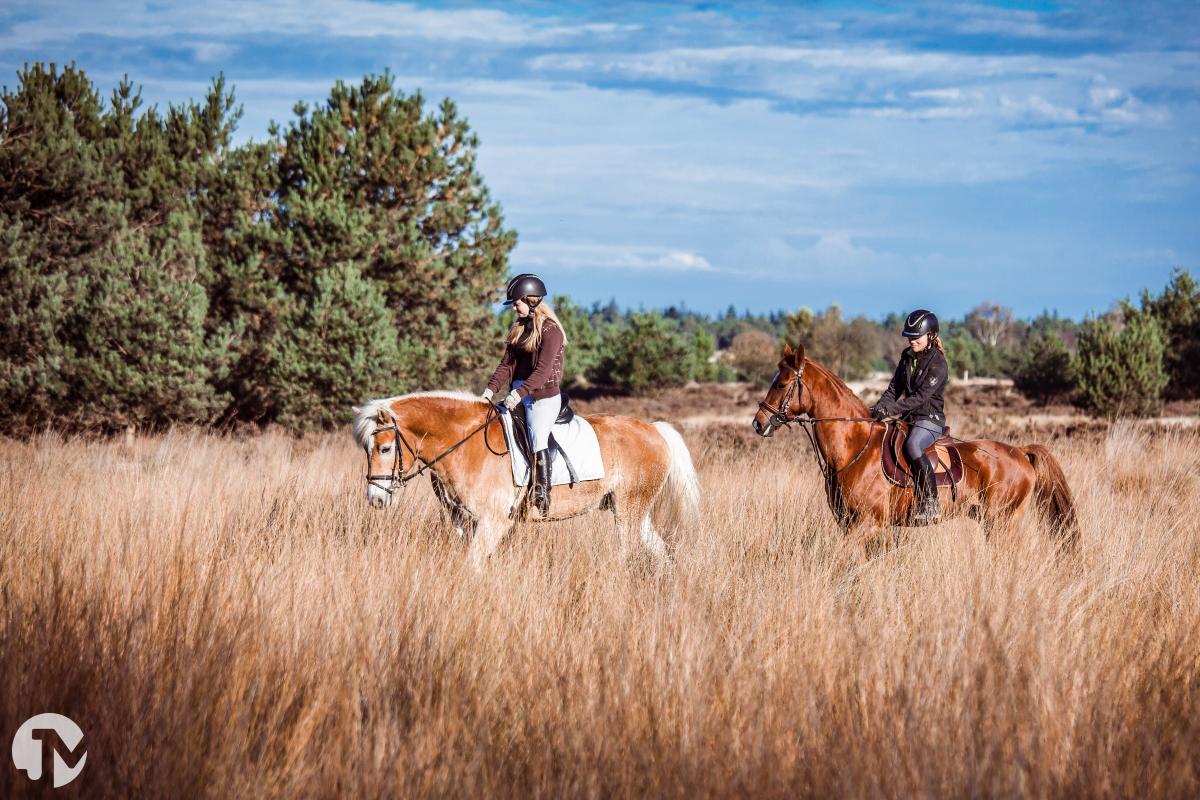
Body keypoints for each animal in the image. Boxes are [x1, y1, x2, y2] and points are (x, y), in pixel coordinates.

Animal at [350, 388, 700, 566]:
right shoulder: (464, 522)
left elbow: (472, 565)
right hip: (632, 509)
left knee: (628, 551)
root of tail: (654, 429)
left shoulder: (494, 521)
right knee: (659, 550)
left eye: (384, 448)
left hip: (629, 509)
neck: (465, 444)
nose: (376, 499)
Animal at [748, 345, 1080, 551]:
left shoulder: (868, 524)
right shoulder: (851, 525)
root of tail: (1020, 452)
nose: (758, 423)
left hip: (1001, 522)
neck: (855, 448)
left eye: (781, 384)